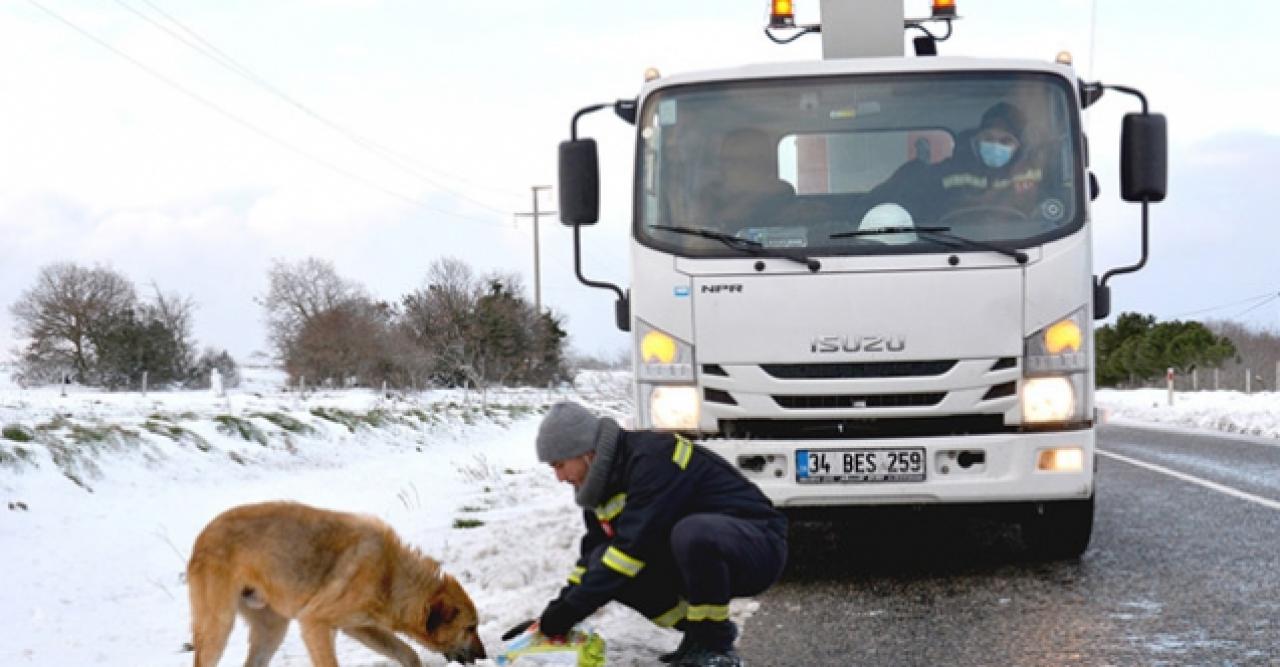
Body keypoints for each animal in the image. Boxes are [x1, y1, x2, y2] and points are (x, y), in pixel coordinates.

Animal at [186, 499, 486, 665]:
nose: (484, 656)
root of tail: (201, 536)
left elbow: (408, 653)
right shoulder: (315, 623)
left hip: (272, 629)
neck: (390, 575)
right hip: (218, 627)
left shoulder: (359, 628)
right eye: (470, 628)